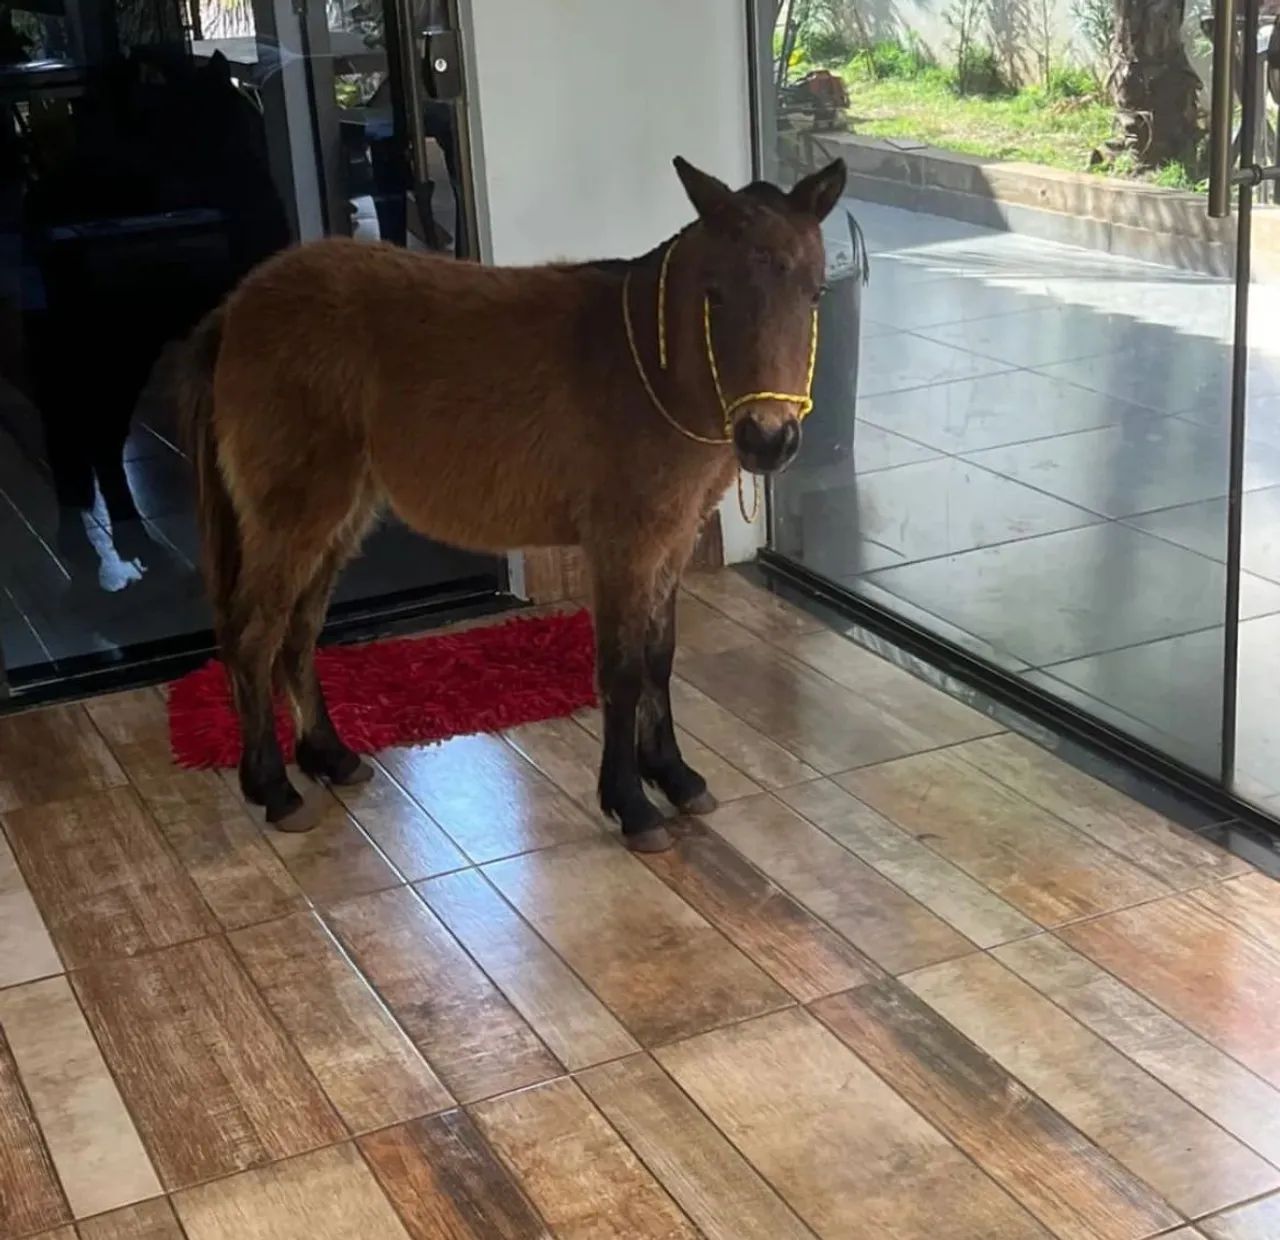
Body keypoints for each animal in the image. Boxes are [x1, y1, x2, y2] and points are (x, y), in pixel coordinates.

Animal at [178, 155, 847, 851]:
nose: (768, 439)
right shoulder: (624, 545)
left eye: (815, 294)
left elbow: (659, 658)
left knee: (299, 632)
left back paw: (329, 757)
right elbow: (621, 668)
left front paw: (675, 777)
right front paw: (632, 803)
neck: (652, 372)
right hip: (295, 514)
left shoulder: (674, 537)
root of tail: (238, 305)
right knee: (254, 636)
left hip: (341, 516)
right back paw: (273, 788)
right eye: (715, 294)